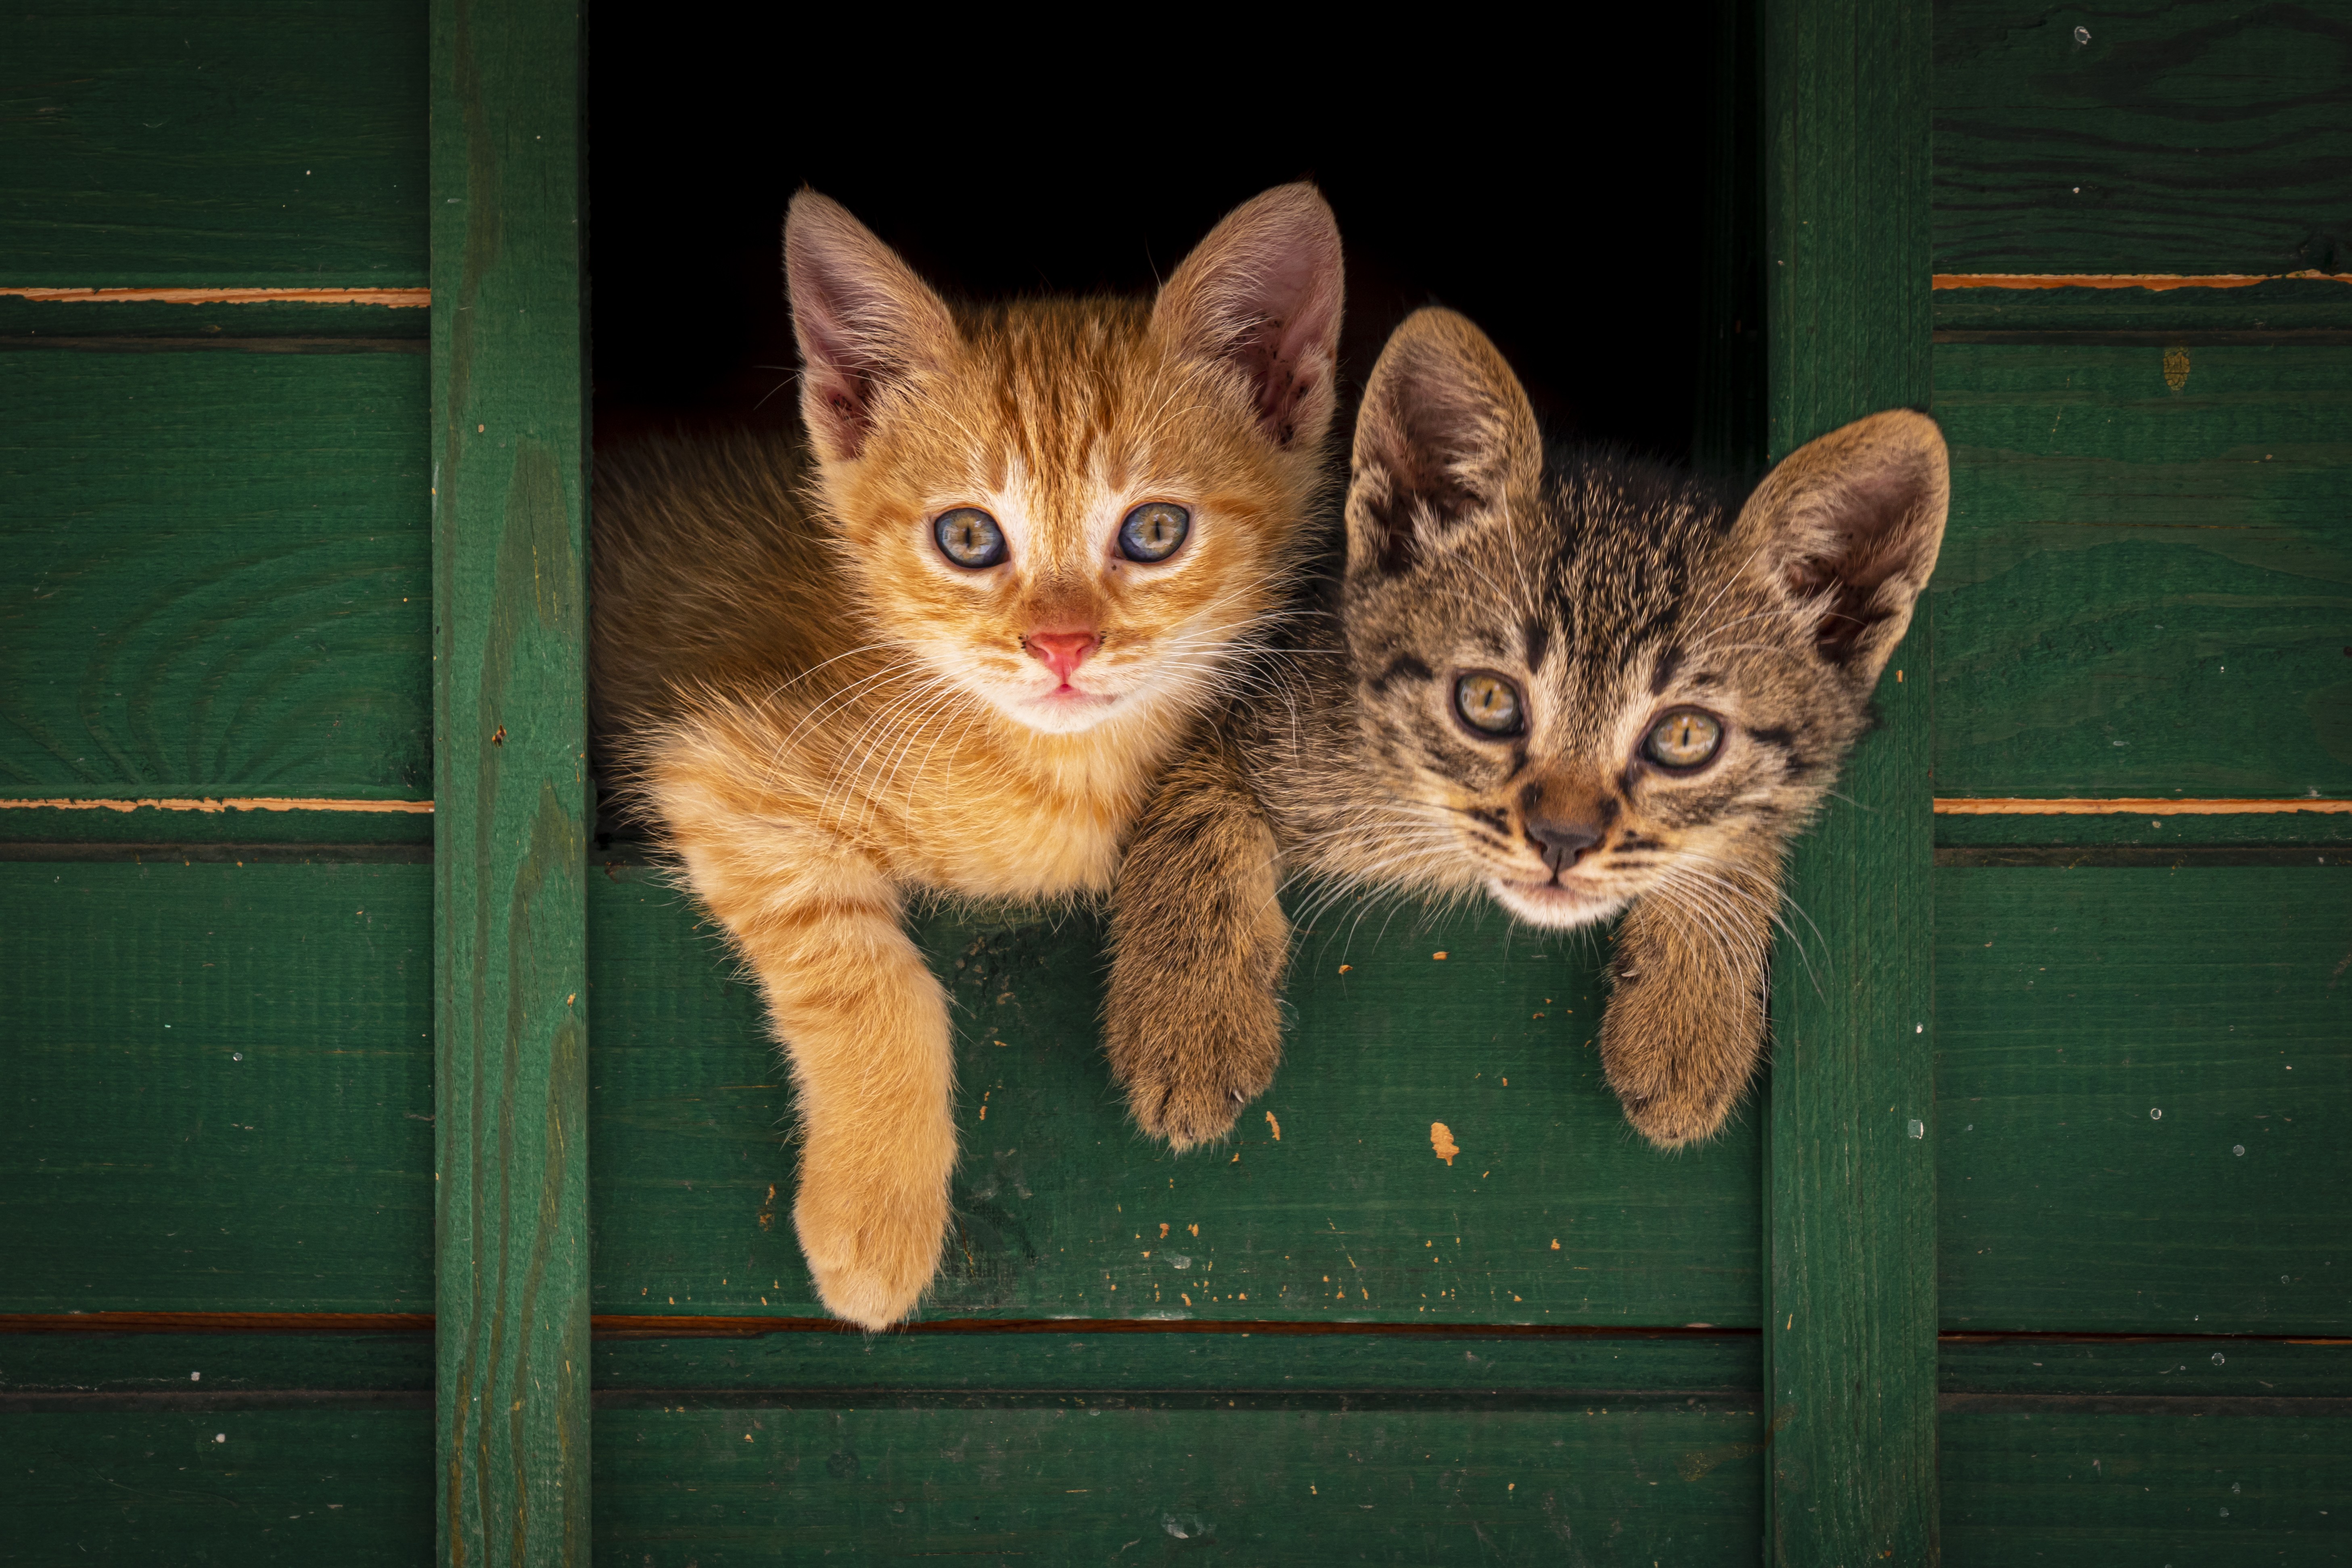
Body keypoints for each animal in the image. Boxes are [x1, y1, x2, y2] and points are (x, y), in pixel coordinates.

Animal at [588, 190, 1345, 1335]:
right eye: (968, 539)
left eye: (1154, 530)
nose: (1061, 646)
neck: (1052, 772)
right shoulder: (721, 764)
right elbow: (866, 974)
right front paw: (874, 1216)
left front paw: (1199, 996)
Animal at [1105, 310, 1947, 1152]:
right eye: (1486, 699)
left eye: (1683, 738)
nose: (1560, 840)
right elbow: (1192, 788)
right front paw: (1188, 1021)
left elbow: (1740, 830)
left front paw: (1686, 1022)